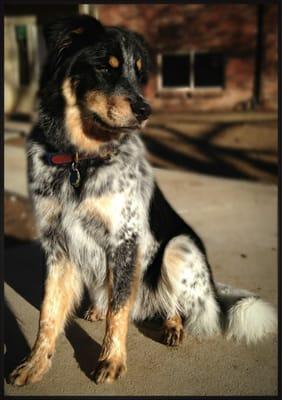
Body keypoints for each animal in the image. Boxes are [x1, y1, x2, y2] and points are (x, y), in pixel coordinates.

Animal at [9, 14, 278, 386]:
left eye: (138, 72)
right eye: (105, 67)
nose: (145, 110)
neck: (80, 158)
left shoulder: (125, 240)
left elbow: (119, 311)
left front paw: (111, 361)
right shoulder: (58, 245)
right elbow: (48, 314)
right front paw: (34, 364)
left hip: (179, 247)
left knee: (175, 304)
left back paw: (173, 326)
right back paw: (97, 308)